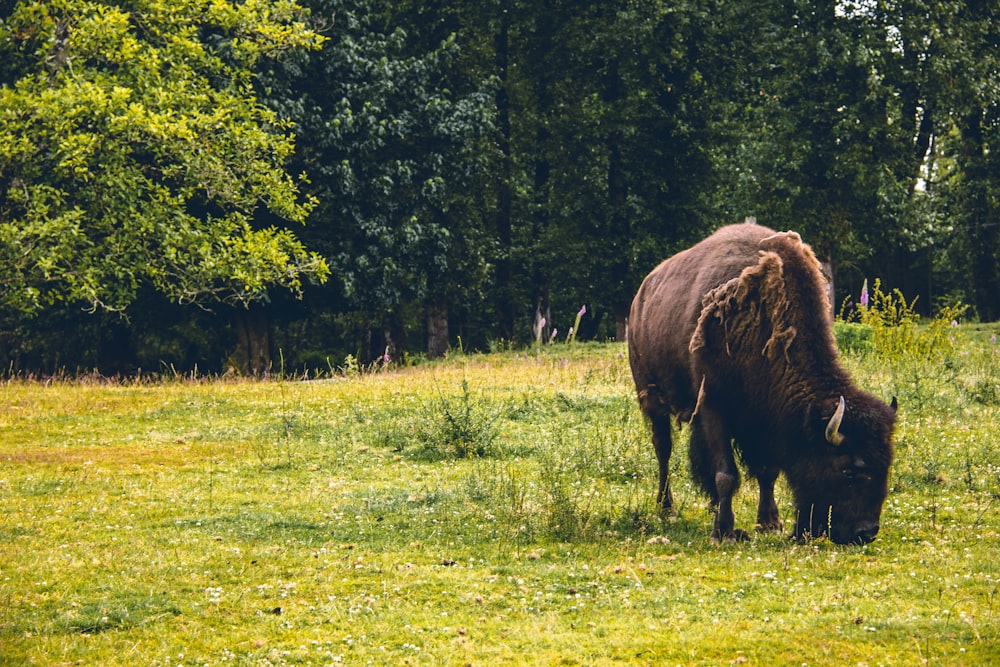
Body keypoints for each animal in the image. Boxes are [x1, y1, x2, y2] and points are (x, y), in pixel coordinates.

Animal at [624, 222, 900, 544]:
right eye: (849, 469)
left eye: (887, 462)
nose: (866, 532)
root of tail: (640, 297)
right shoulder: (714, 405)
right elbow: (726, 474)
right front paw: (724, 531)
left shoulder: (762, 419)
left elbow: (766, 471)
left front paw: (769, 522)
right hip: (652, 399)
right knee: (663, 449)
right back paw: (667, 508)